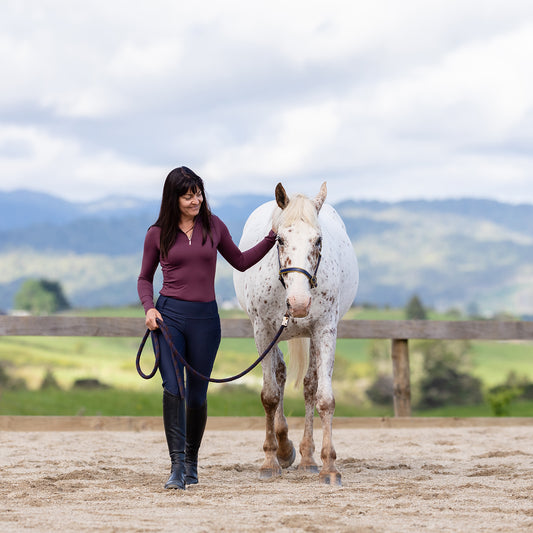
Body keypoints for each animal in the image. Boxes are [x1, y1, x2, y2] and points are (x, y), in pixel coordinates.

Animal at [233, 181, 358, 484]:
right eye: (279, 240)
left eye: (318, 240)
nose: (299, 303)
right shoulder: (263, 331)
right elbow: (269, 395)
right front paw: (270, 461)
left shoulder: (325, 330)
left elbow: (324, 398)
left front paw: (329, 466)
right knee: (279, 375)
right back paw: (283, 449)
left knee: (309, 386)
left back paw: (307, 457)